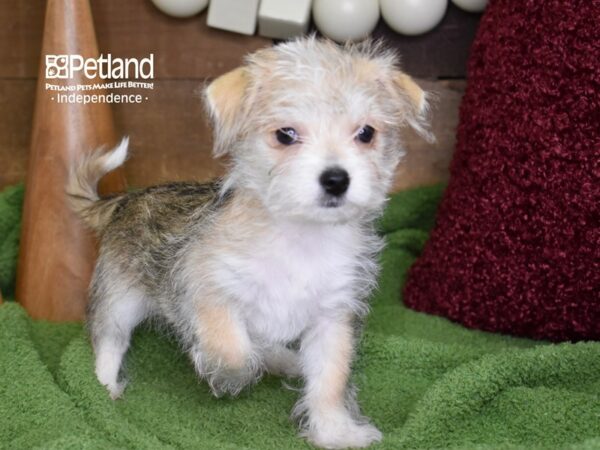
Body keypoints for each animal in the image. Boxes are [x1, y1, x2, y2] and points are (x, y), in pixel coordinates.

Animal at [68, 38, 428, 450]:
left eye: (366, 133)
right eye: (285, 134)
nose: (336, 179)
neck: (300, 237)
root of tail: (124, 200)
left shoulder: (333, 318)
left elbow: (330, 381)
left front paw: (335, 431)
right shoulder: (206, 289)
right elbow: (233, 349)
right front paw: (230, 376)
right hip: (118, 300)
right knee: (109, 342)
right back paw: (105, 387)